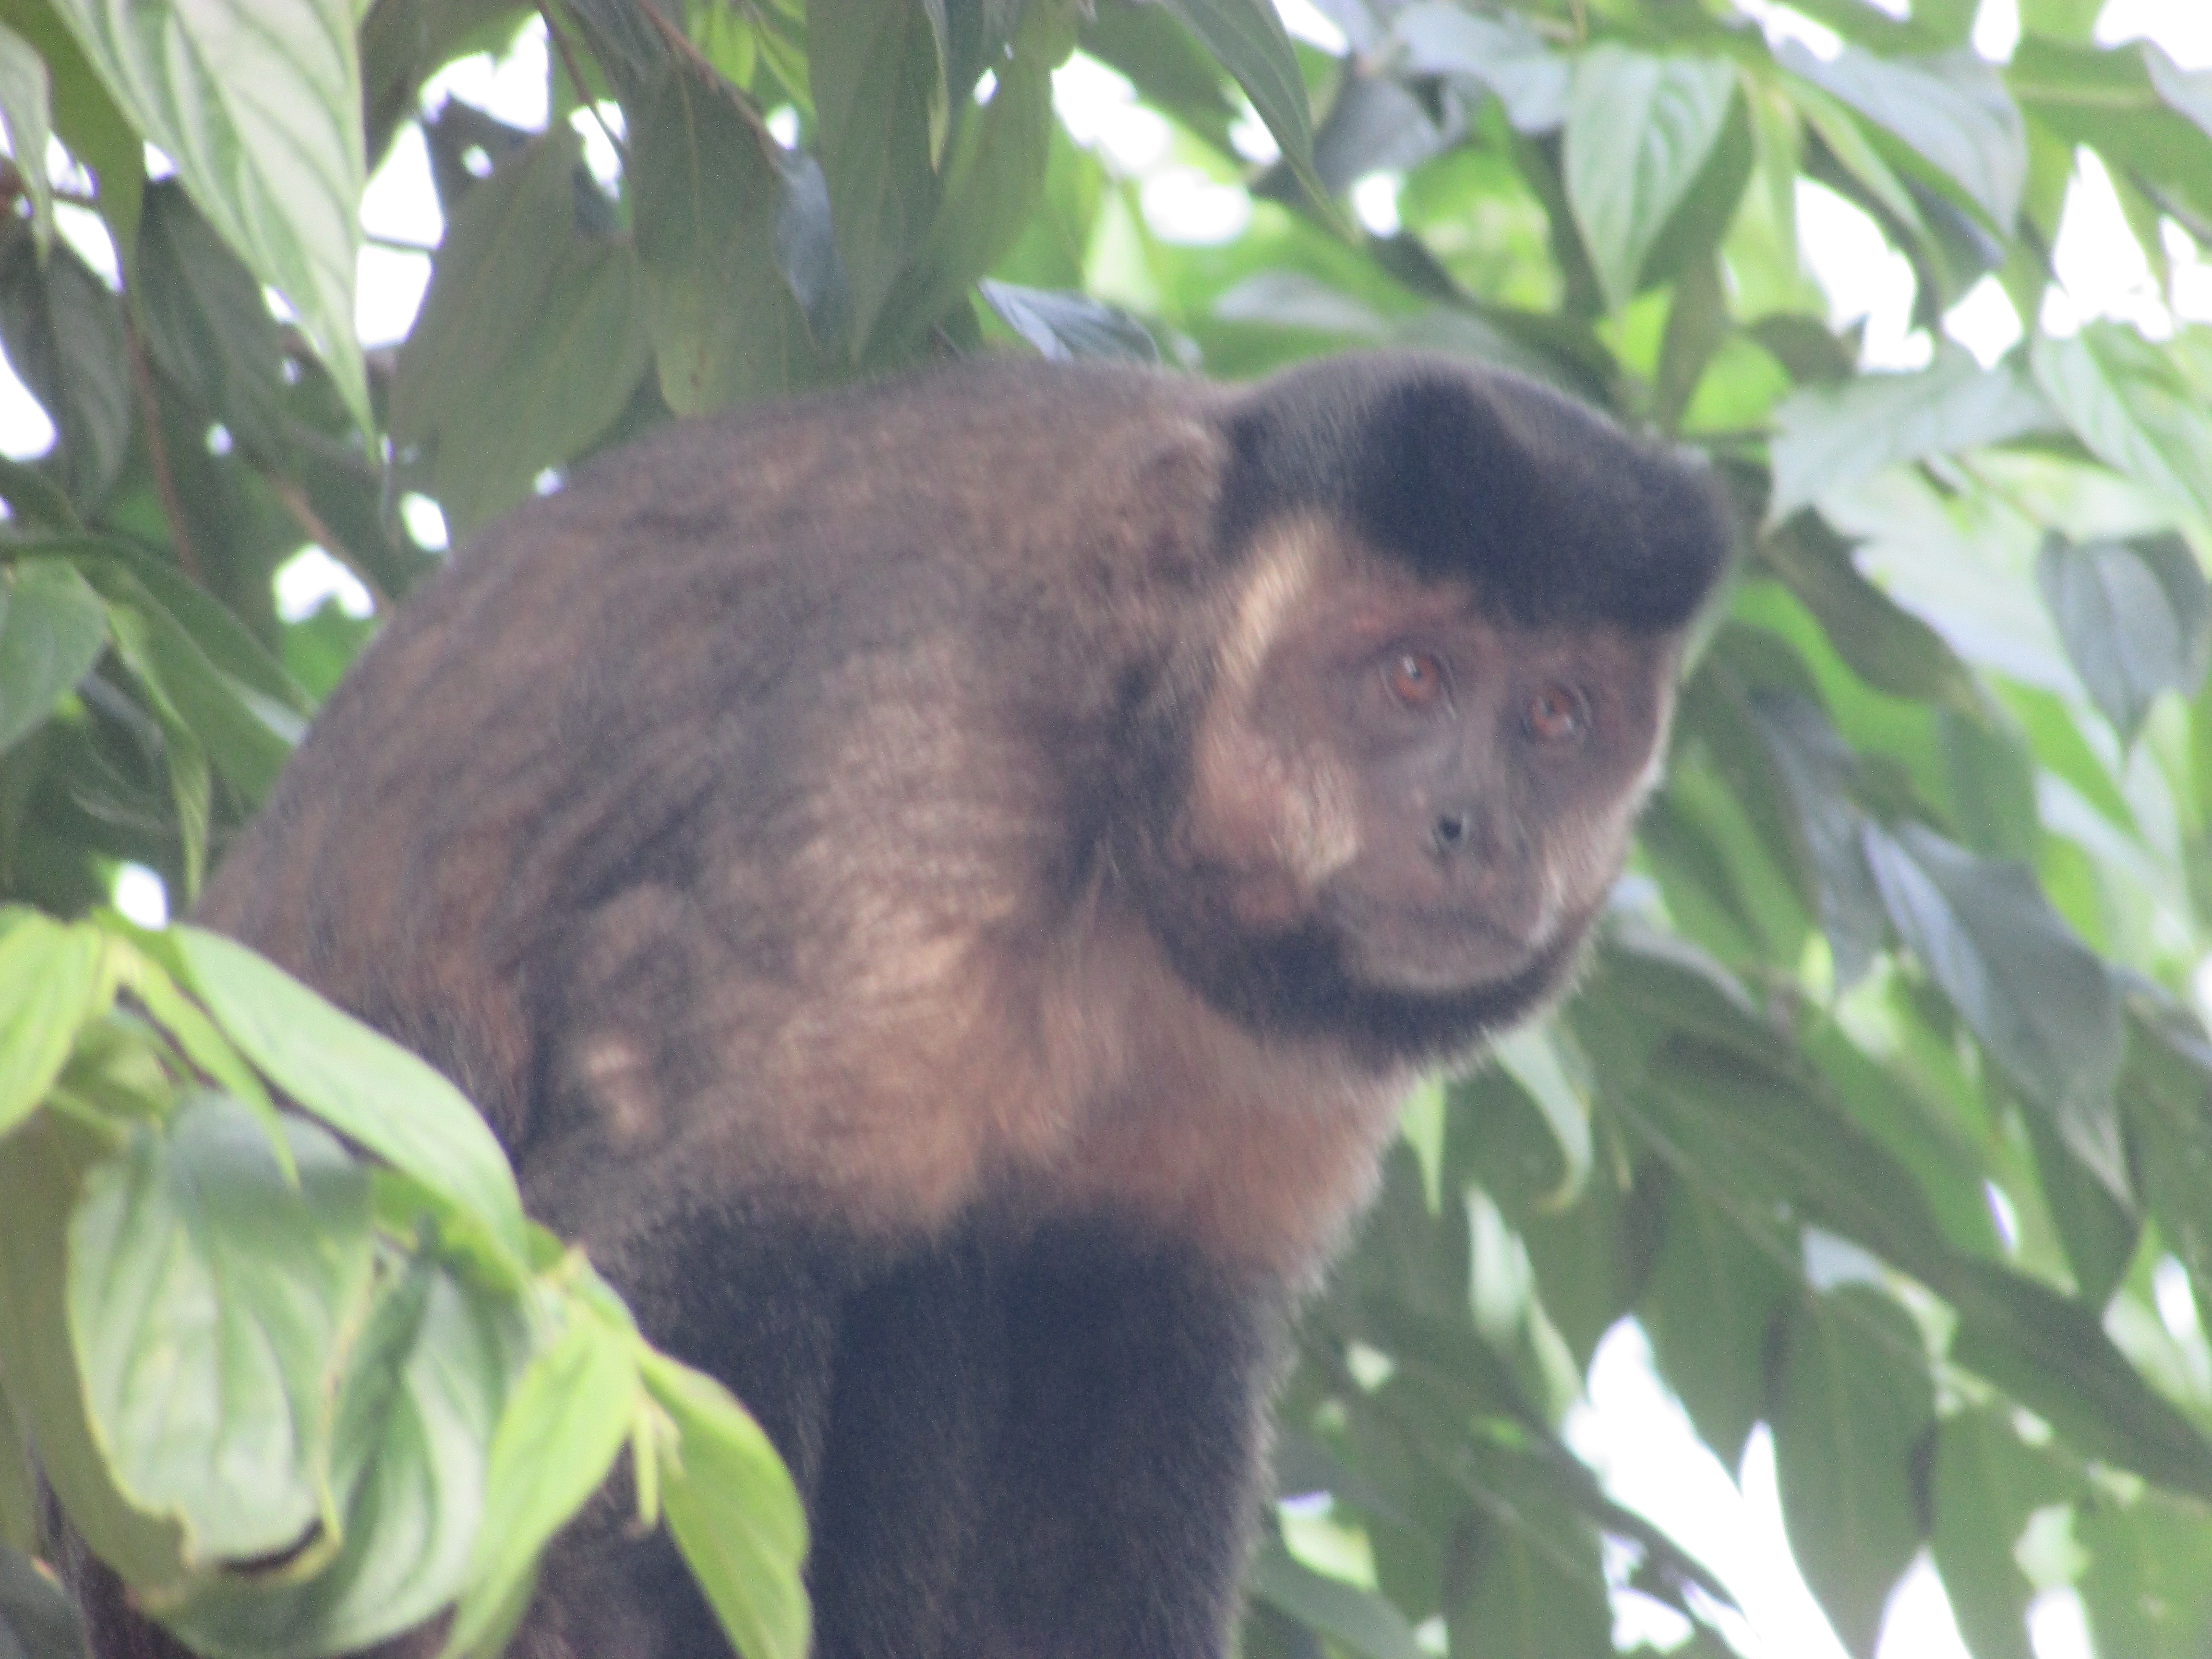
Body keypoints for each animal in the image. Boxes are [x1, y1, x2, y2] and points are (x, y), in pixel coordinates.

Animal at [117, 351, 1725, 1659]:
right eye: (1411, 677)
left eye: (1558, 716)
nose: (1476, 827)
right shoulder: (932, 746)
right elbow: (676, 1256)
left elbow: (1130, 1339)